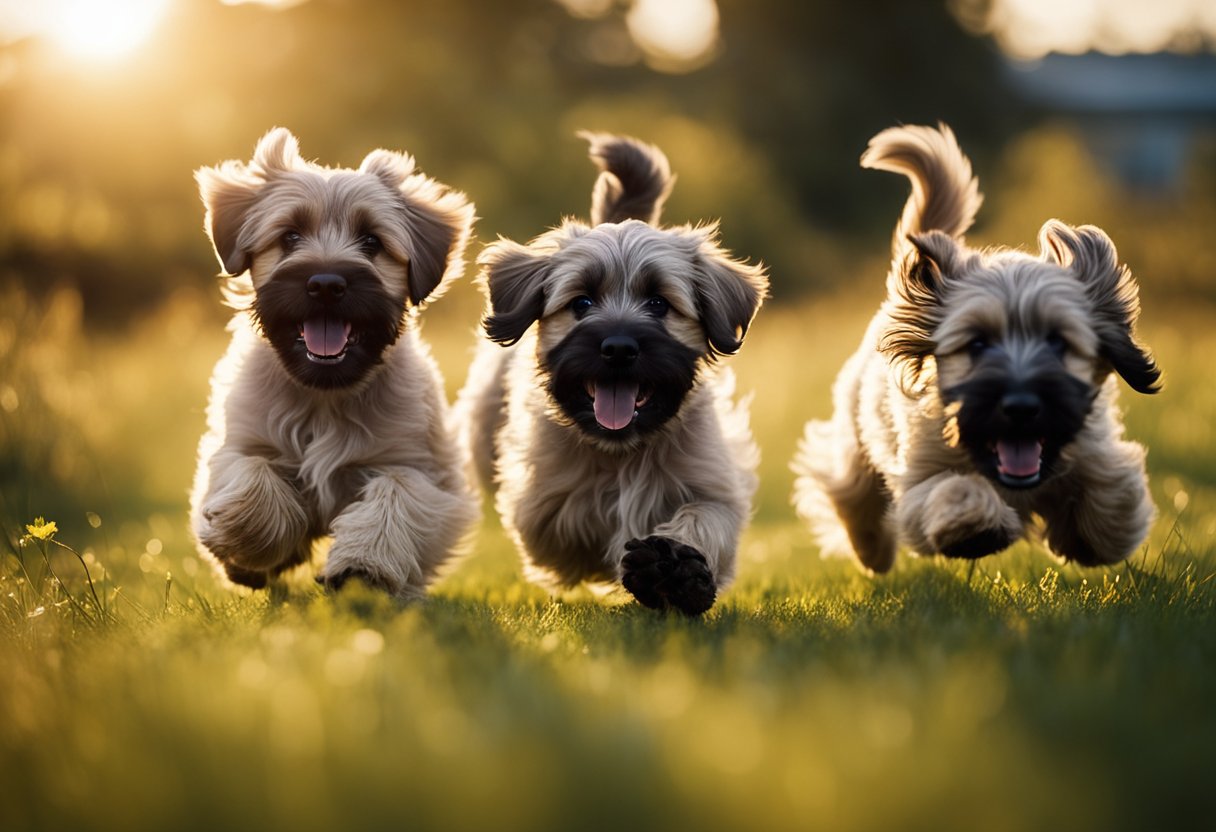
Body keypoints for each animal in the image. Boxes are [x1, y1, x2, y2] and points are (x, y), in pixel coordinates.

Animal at [188, 126, 474, 598]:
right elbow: (255, 477)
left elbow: (395, 496)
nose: (325, 284)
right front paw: (245, 544)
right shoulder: (239, 444)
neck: (324, 394)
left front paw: (363, 565)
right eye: (289, 236)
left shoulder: (421, 469)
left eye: (372, 241)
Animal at [459, 133, 763, 617]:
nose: (619, 348)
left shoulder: (713, 484)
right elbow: (576, 528)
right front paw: (651, 568)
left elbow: (703, 519)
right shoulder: (543, 505)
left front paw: (675, 569)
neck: (623, 452)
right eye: (581, 303)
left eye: (659, 303)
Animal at [792, 123, 1162, 574]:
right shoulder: (918, 480)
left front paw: (1086, 538)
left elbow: (1113, 490)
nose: (1021, 406)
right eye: (977, 343)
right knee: (851, 495)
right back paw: (871, 552)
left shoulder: (1092, 448)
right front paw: (977, 527)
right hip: (854, 445)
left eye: (1057, 341)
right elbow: (952, 491)